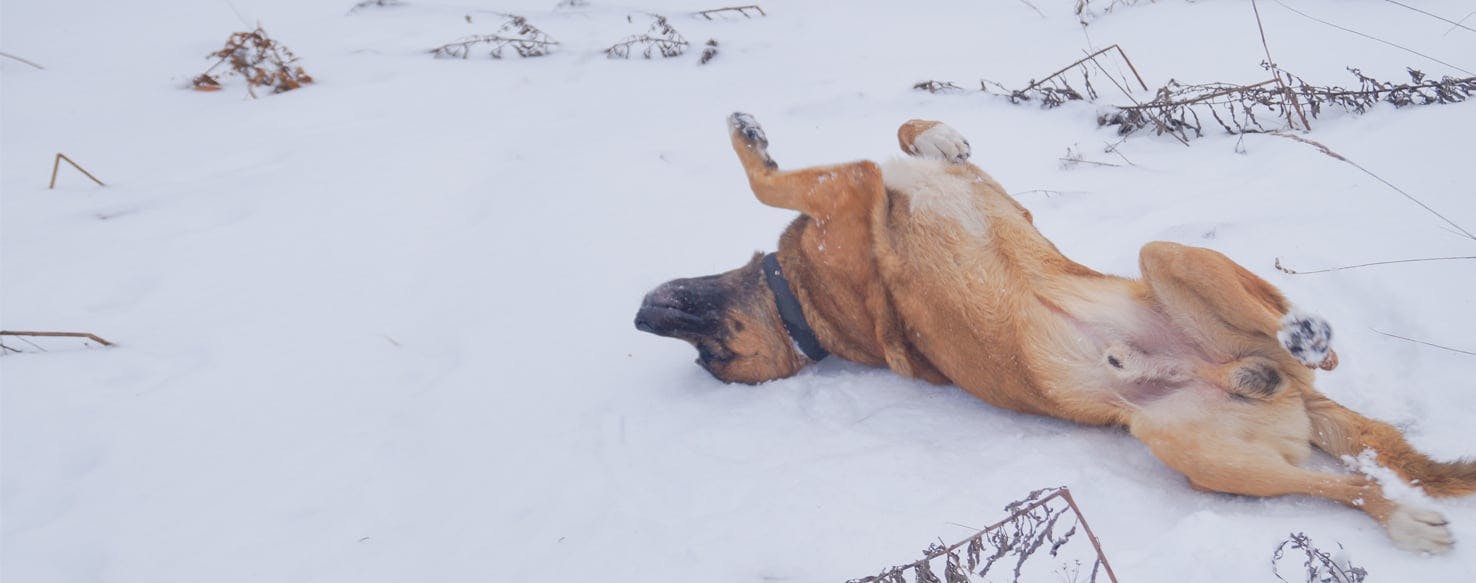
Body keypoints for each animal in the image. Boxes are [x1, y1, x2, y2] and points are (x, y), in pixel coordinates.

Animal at [634, 112, 1476, 552]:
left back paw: (1298, 336)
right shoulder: (849, 190)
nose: (641, 317)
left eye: (711, 352)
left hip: (1169, 259)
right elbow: (770, 181)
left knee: (1309, 349)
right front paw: (753, 142)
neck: (802, 306)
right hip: (1196, 450)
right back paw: (1394, 508)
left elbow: (897, 138)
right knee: (1347, 480)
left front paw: (937, 135)